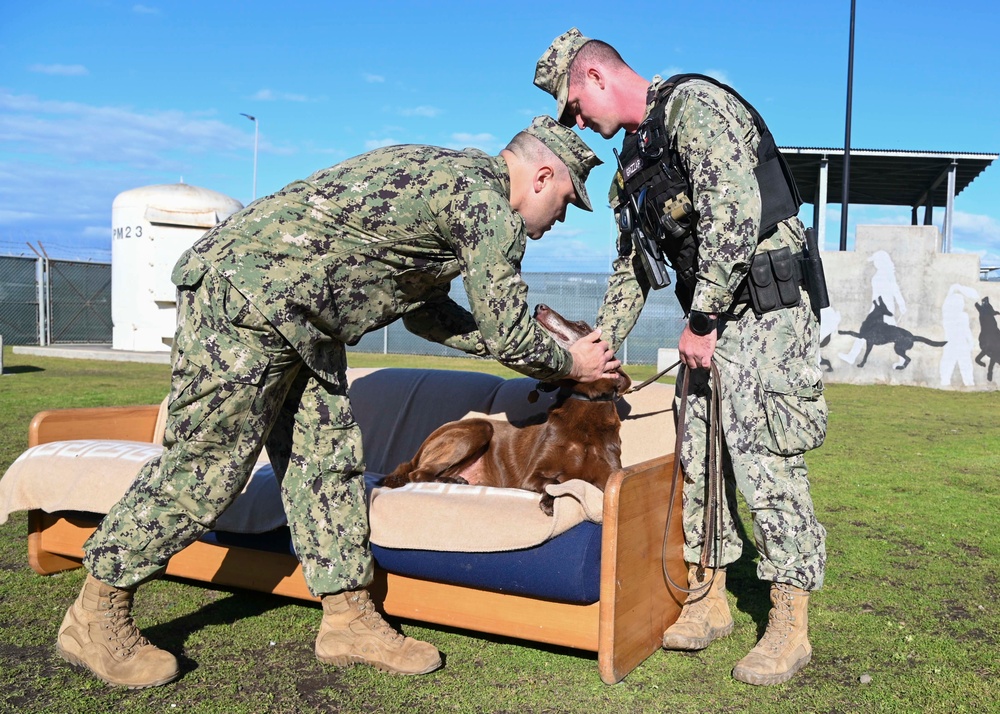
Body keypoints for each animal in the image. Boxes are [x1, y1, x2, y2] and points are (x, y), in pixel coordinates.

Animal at [382, 300, 632, 512]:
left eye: (581, 325)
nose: (539, 307)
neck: (585, 400)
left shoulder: (609, 474)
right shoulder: (532, 475)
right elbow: (555, 481)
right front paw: (549, 500)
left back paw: (453, 479)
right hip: (478, 428)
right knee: (418, 474)